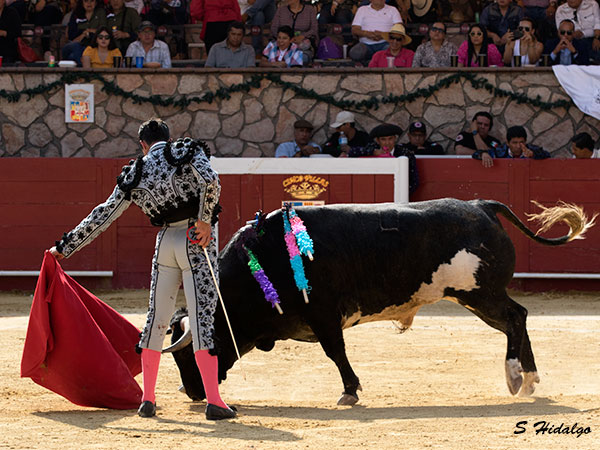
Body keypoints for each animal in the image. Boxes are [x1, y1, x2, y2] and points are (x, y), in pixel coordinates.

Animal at [162, 199, 592, 406]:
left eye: (188, 355)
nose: (192, 392)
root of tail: (481, 206)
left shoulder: (324, 315)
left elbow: (336, 353)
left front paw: (349, 392)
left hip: (479, 293)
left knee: (516, 318)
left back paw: (515, 376)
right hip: (476, 296)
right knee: (518, 319)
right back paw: (529, 380)